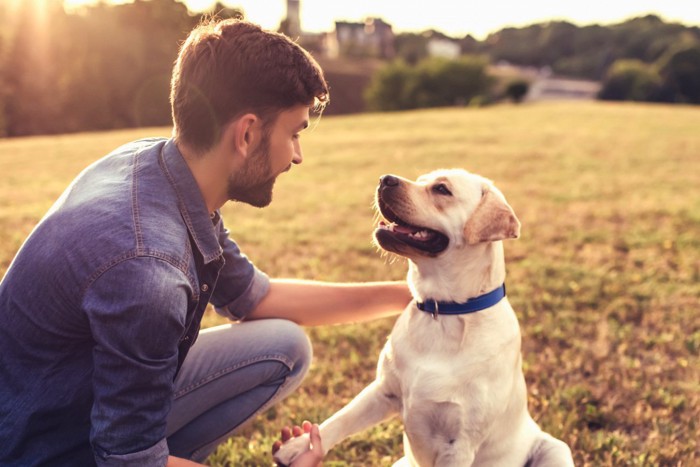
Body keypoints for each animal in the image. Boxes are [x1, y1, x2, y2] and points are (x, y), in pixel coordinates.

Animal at [274, 169, 576, 467]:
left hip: (556, 450)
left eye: (442, 189)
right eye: (421, 180)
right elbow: (339, 420)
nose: (385, 179)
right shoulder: (383, 391)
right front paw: (299, 447)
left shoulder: (459, 443)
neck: (442, 311)